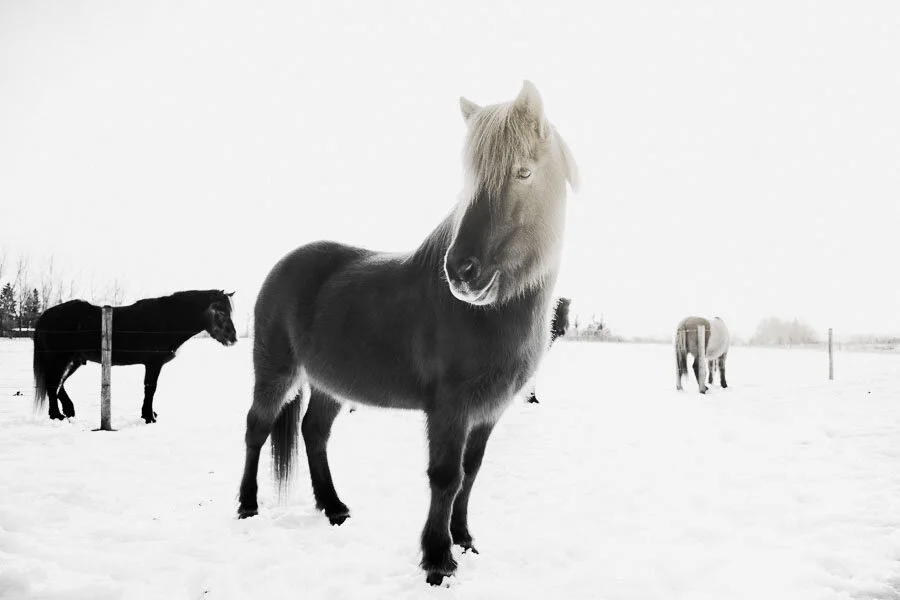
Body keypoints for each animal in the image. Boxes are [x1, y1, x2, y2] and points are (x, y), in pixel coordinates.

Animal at [33, 290, 237, 423]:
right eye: (220, 310)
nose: (232, 338)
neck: (167, 320)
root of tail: (45, 315)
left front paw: (150, 414)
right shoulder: (153, 364)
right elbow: (150, 389)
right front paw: (148, 416)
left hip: (73, 360)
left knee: (59, 384)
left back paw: (68, 410)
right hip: (59, 359)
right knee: (53, 384)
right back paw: (56, 415)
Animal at [237, 81, 579, 586]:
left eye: (523, 172)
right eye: (469, 179)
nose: (462, 272)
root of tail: (284, 264)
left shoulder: (487, 411)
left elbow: (470, 473)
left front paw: (464, 540)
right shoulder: (449, 409)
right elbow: (445, 476)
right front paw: (437, 560)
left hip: (328, 384)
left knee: (313, 432)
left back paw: (334, 508)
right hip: (276, 371)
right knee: (257, 429)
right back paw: (246, 506)